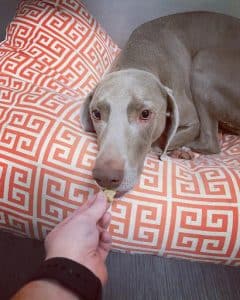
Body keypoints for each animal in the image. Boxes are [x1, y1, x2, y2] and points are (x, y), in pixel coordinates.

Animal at [79, 10, 240, 193]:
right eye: (96, 113)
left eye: (145, 114)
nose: (106, 177)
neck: (138, 57)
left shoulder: (193, 122)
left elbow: (165, 141)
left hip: (203, 65)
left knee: (210, 142)